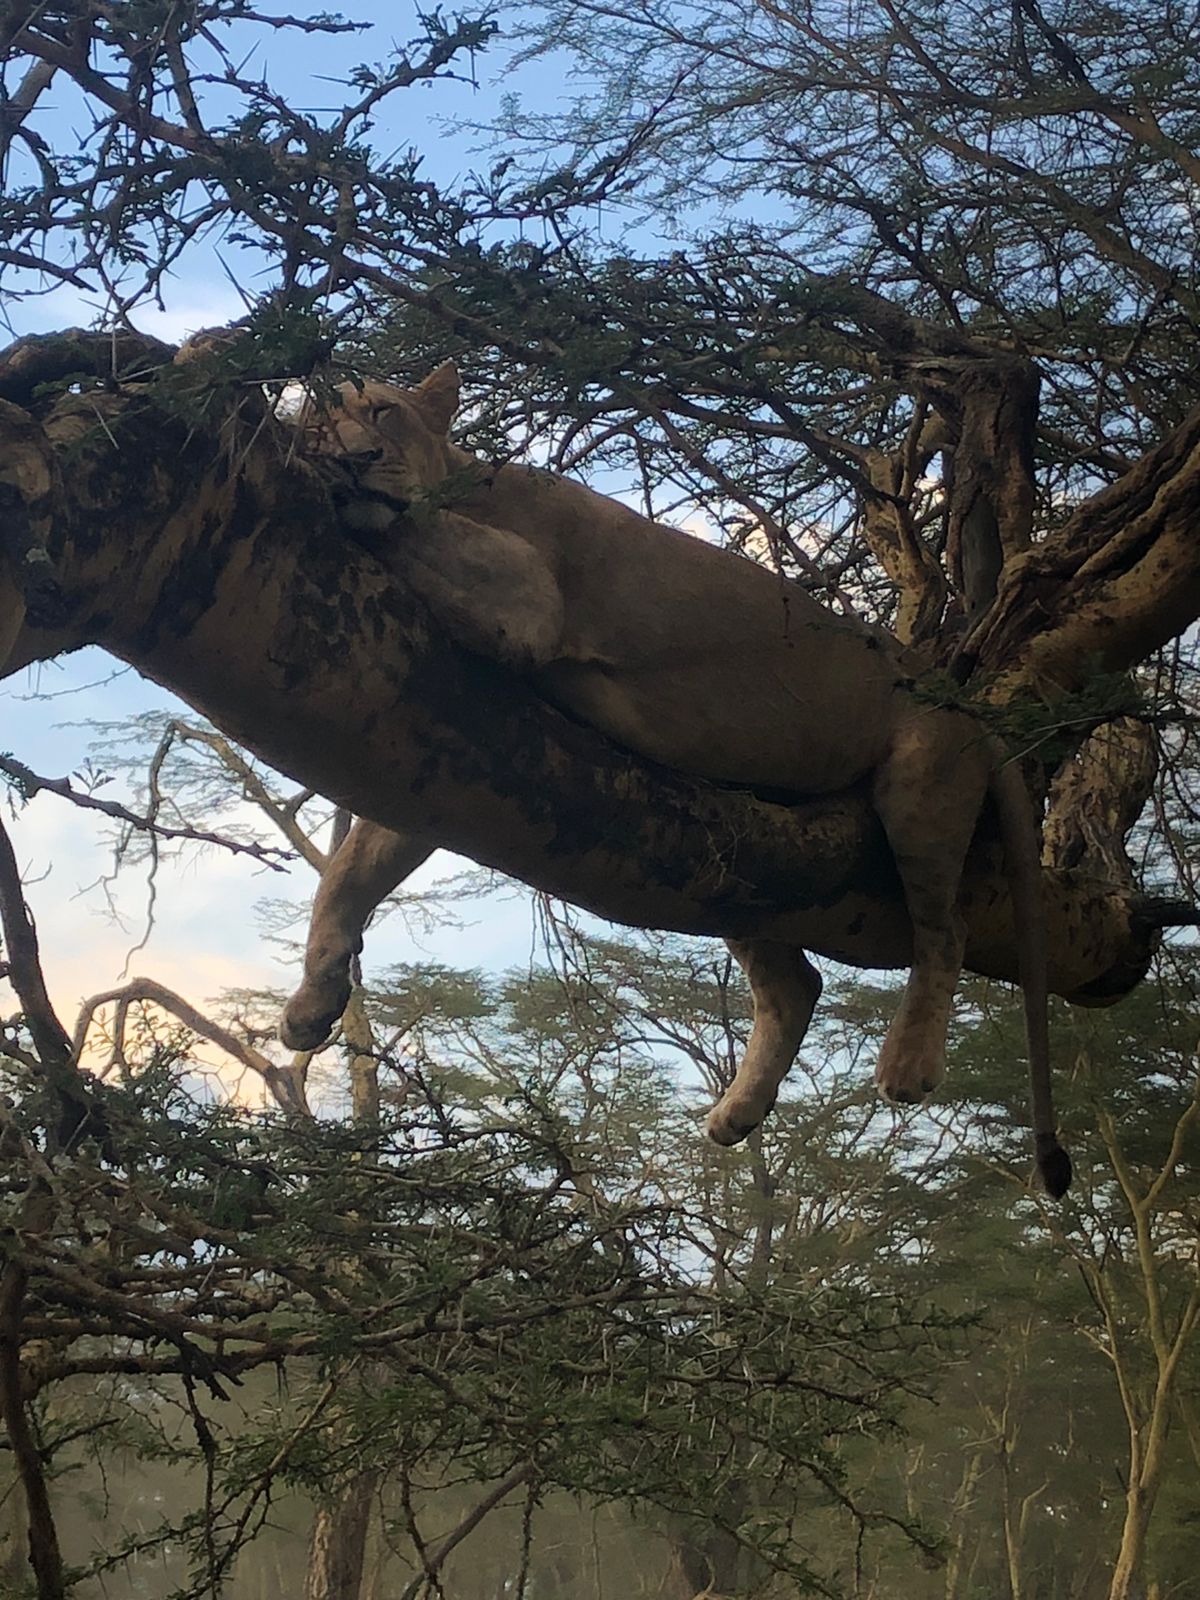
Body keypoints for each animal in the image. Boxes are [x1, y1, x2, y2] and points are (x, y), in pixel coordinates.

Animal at [281, 365, 1070, 1195]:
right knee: (795, 984)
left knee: (943, 931)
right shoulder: (448, 735)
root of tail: (951, 686)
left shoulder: (527, 594)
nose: (353, 456)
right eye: (317, 423)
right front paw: (311, 1004)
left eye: (382, 413)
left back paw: (909, 1064)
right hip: (749, 856)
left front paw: (334, 483)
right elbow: (350, 874)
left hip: (919, 787)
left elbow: (411, 527)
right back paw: (737, 1114)